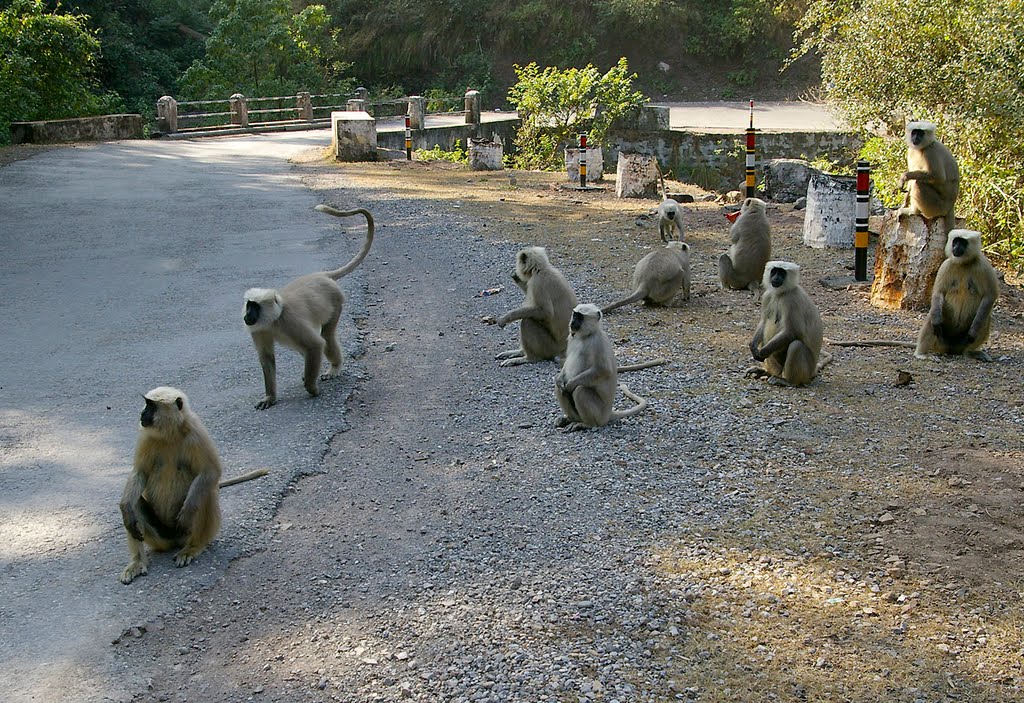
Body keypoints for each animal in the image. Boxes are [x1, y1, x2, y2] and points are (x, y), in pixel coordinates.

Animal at [243, 203, 376, 409]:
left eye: (255, 308)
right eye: (249, 305)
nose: (247, 315)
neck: (274, 319)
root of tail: (323, 276)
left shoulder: (289, 322)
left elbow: (316, 345)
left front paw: (312, 389)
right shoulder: (259, 329)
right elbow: (267, 358)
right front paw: (270, 397)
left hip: (336, 302)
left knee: (326, 337)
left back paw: (333, 368)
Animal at [917, 231, 995, 362]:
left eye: (962, 243)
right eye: (956, 241)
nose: (956, 247)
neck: (963, 264)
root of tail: (951, 349)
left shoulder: (983, 266)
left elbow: (990, 296)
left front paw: (973, 331)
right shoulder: (946, 265)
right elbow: (938, 292)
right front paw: (936, 321)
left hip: (961, 342)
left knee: (985, 317)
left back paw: (969, 352)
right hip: (940, 342)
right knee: (933, 315)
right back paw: (921, 353)